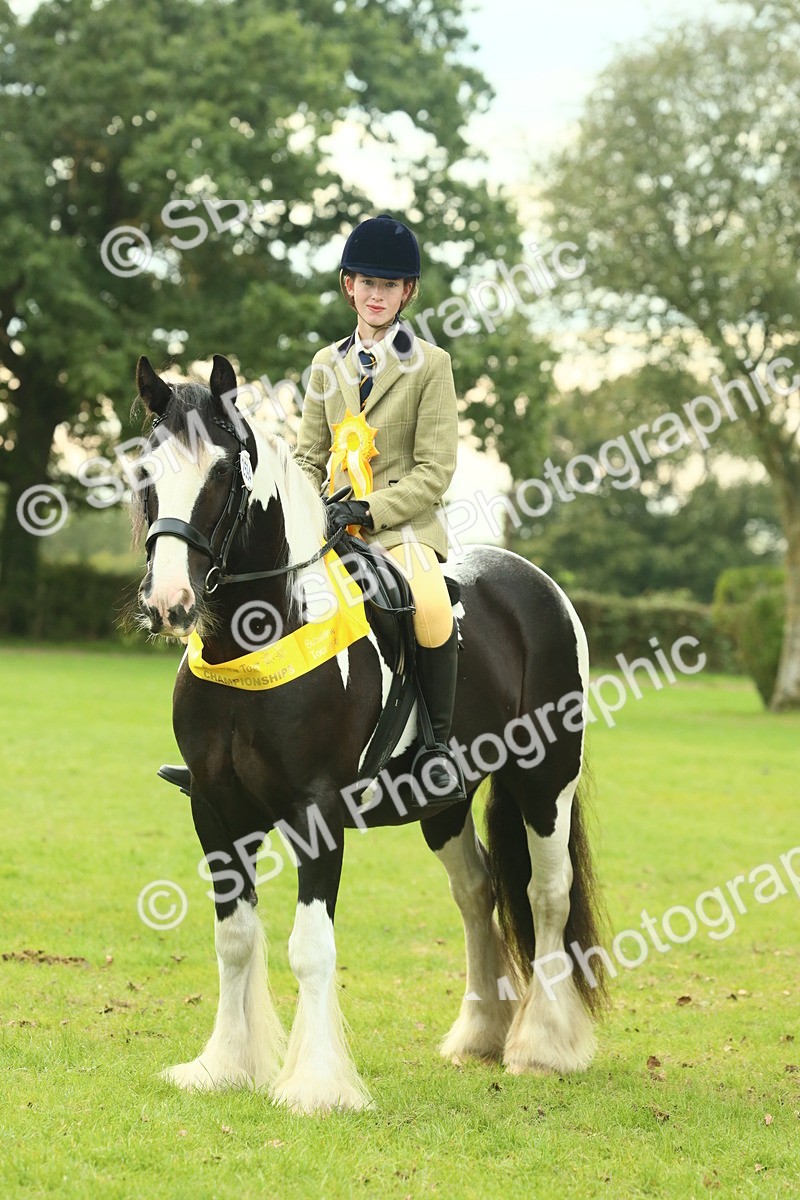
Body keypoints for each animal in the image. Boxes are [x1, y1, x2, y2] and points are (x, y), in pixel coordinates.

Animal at [132, 352, 608, 1114]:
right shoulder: (216, 809)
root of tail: (539, 586)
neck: (258, 636)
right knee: (476, 892)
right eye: (146, 471)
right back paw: (480, 1034)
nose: (169, 603)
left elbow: (310, 947)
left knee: (546, 893)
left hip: (545, 782)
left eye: (224, 473)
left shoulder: (316, 812)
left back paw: (542, 1047)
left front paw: (317, 1086)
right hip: (444, 801)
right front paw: (225, 1066)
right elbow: (234, 938)